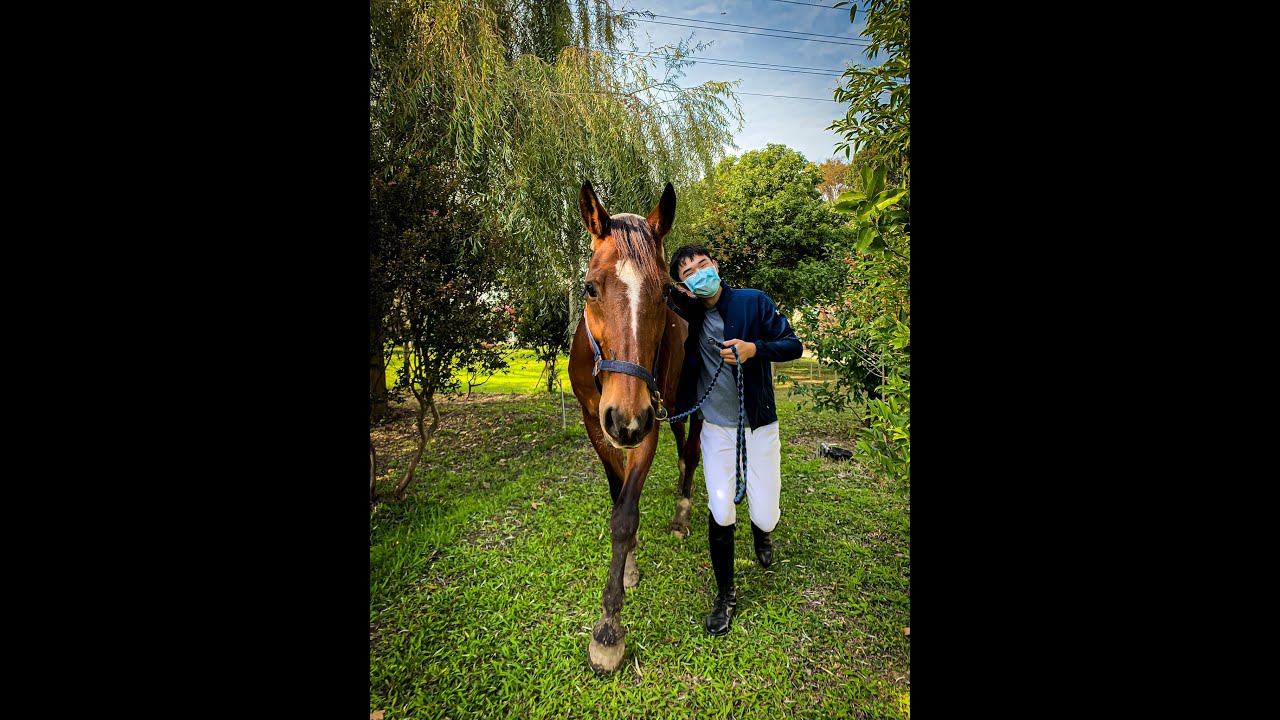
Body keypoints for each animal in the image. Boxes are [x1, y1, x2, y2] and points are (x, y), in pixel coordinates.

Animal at [568, 180, 704, 673]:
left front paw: (608, 630)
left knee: (691, 456)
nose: (626, 417)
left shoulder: (648, 426)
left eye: (664, 292)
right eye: (590, 288)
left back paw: (682, 515)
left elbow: (624, 516)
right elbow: (617, 493)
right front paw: (628, 566)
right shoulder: (598, 424)